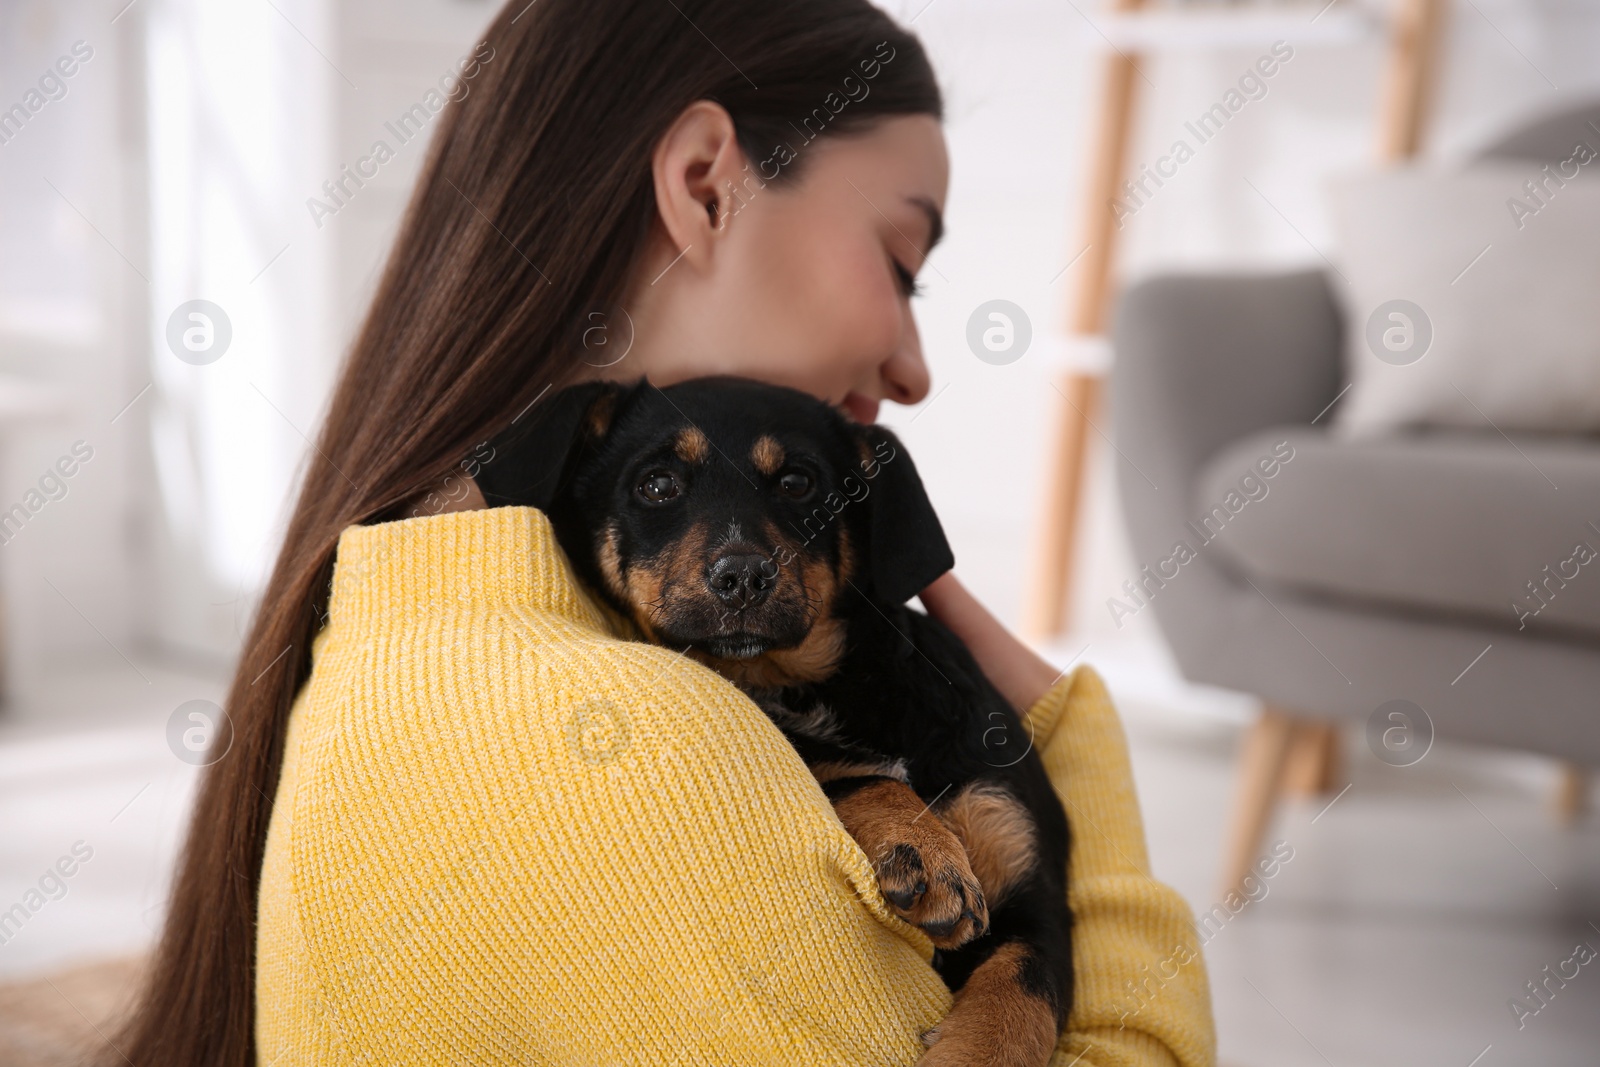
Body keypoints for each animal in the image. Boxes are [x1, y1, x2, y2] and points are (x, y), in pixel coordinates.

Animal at [473, 379, 1075, 1062]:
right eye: (657, 484)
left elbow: (1020, 1000)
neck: (812, 683)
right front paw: (923, 848)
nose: (742, 576)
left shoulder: (1032, 885)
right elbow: (845, 770)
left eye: (797, 483)